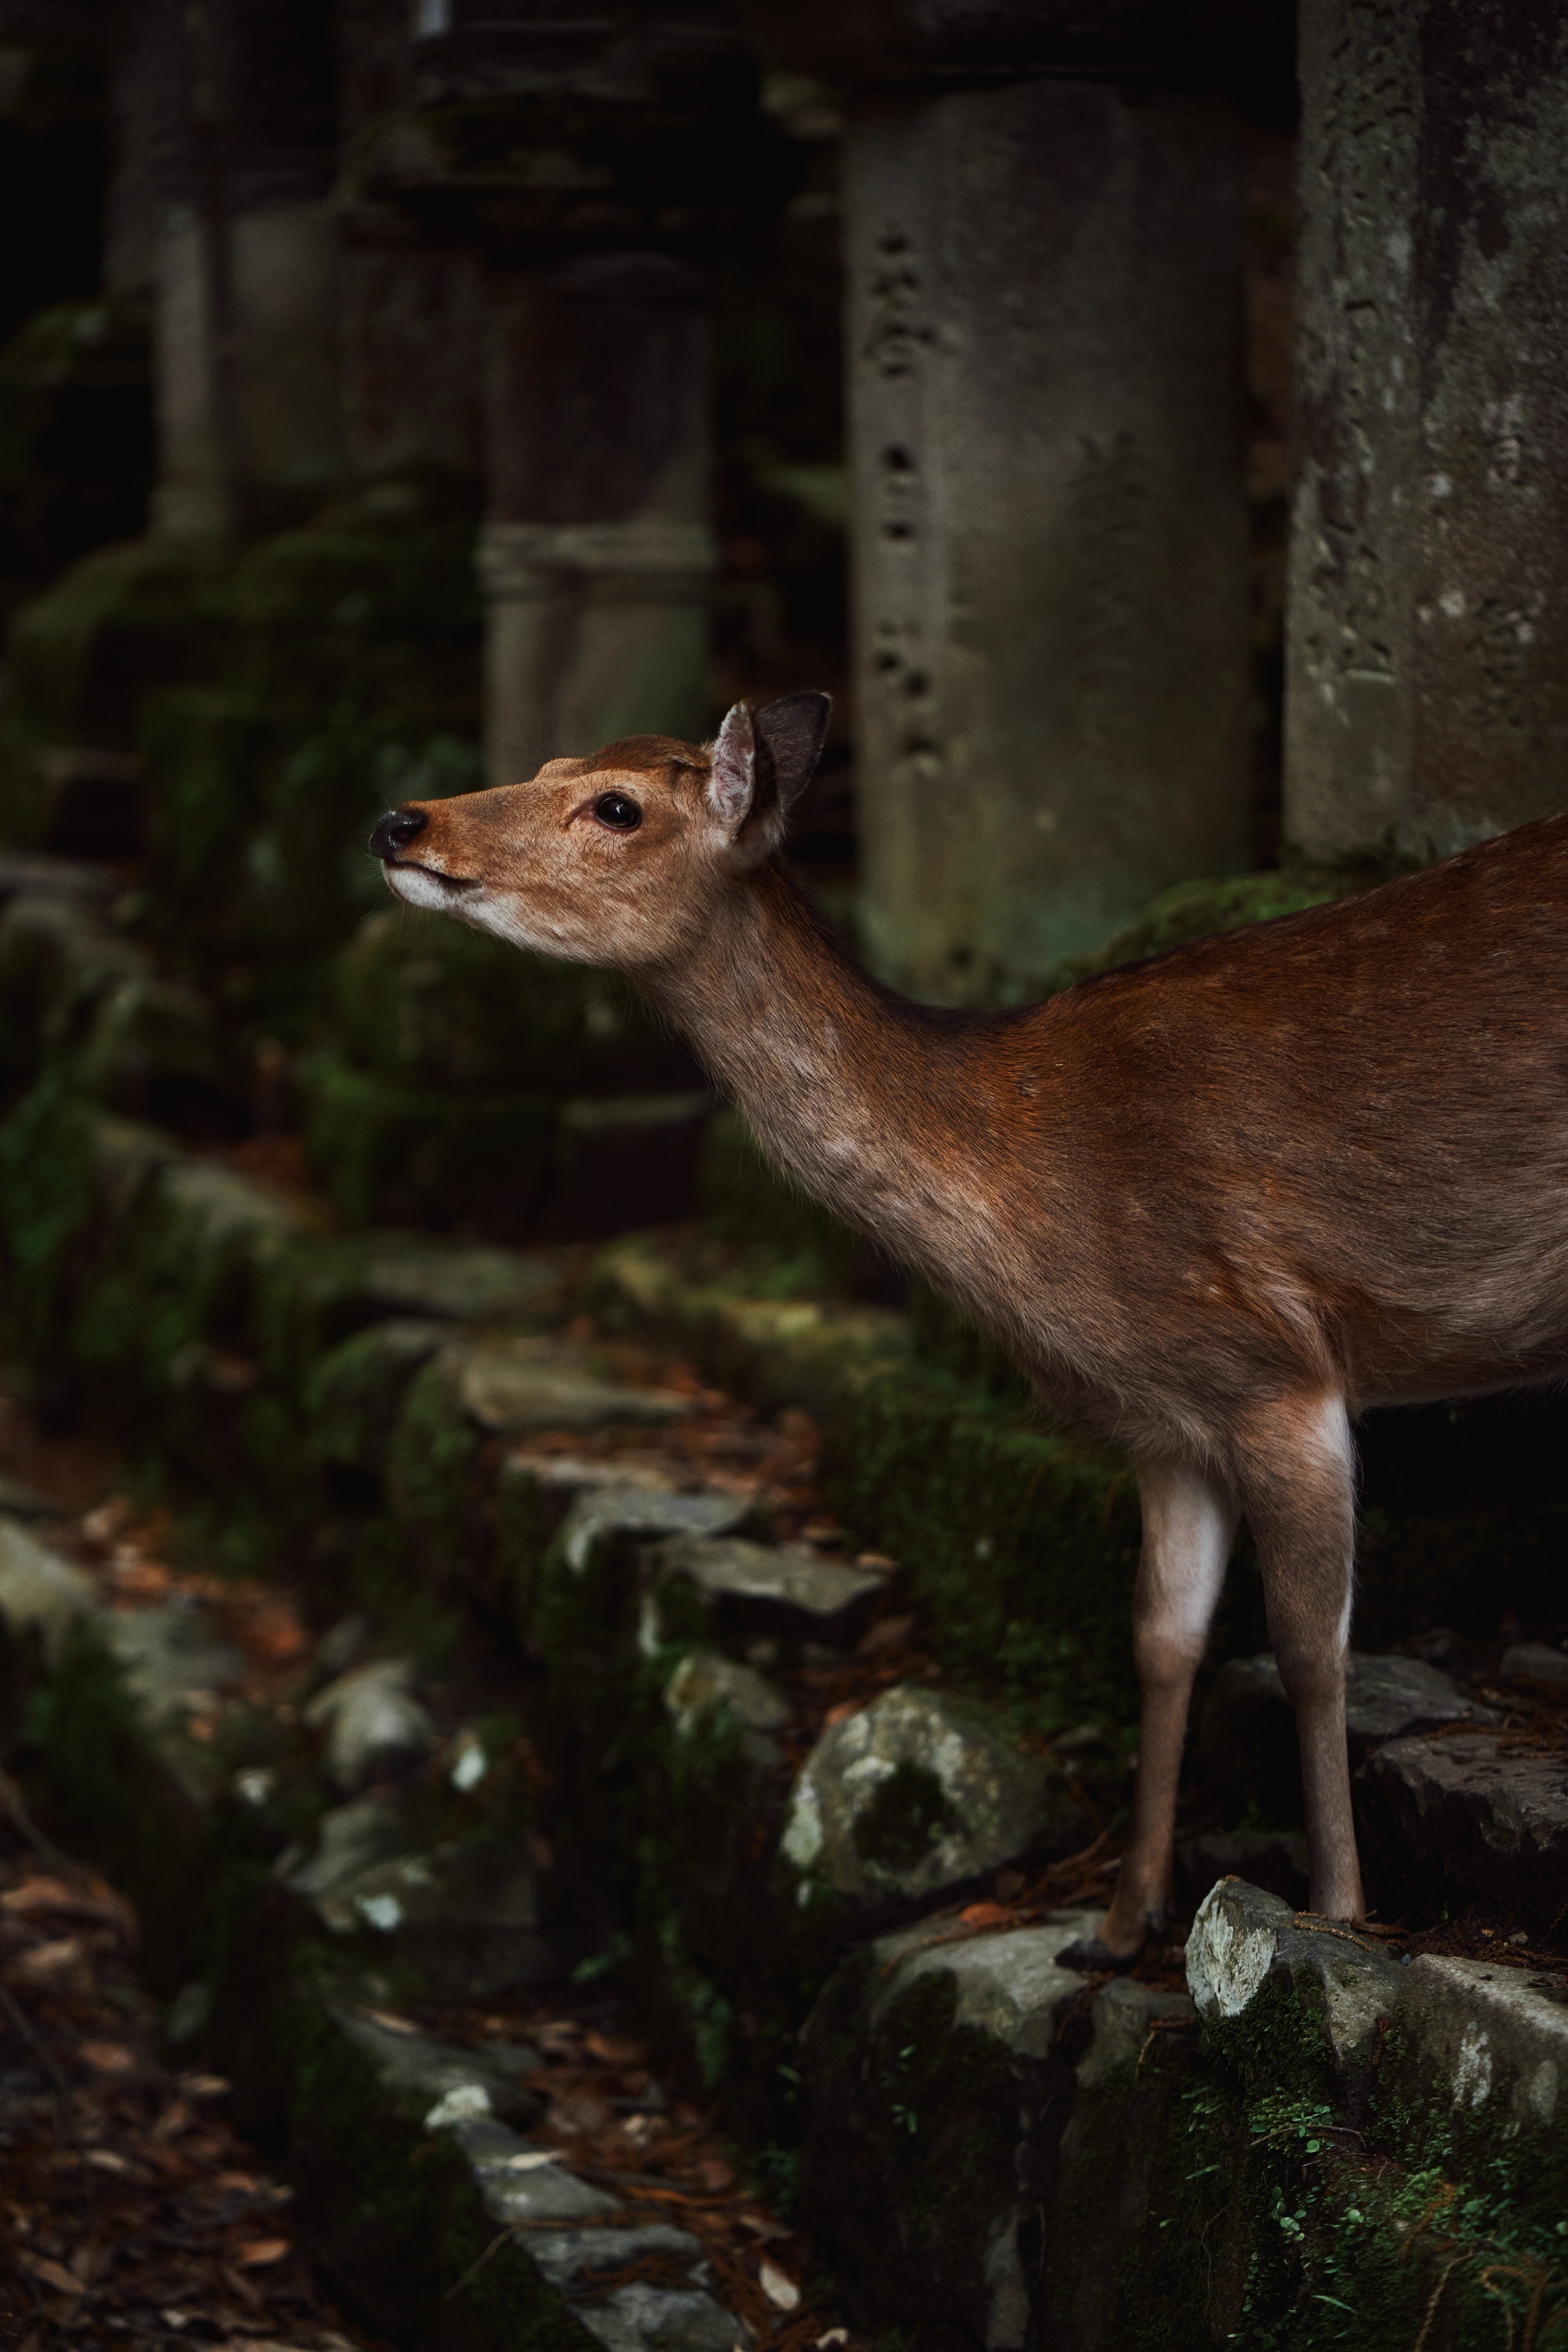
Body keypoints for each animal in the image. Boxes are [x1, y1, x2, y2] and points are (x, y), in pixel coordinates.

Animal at [374, 691, 1568, 1966]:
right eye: (553, 759)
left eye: (615, 806)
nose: (403, 821)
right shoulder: (1167, 1418)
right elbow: (1161, 1640)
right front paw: (1118, 1924)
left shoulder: (1274, 1368)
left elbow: (1307, 1645)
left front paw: (1334, 1911)